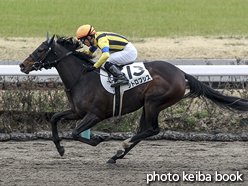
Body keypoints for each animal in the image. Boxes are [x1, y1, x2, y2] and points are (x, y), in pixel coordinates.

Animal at [19, 34, 248, 163]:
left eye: (41, 49)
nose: (22, 65)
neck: (82, 77)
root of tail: (181, 72)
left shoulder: (95, 114)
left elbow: (76, 133)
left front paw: (98, 139)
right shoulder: (77, 112)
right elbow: (54, 118)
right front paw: (60, 148)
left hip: (154, 102)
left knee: (152, 130)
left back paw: (122, 146)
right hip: (146, 106)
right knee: (144, 130)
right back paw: (116, 156)